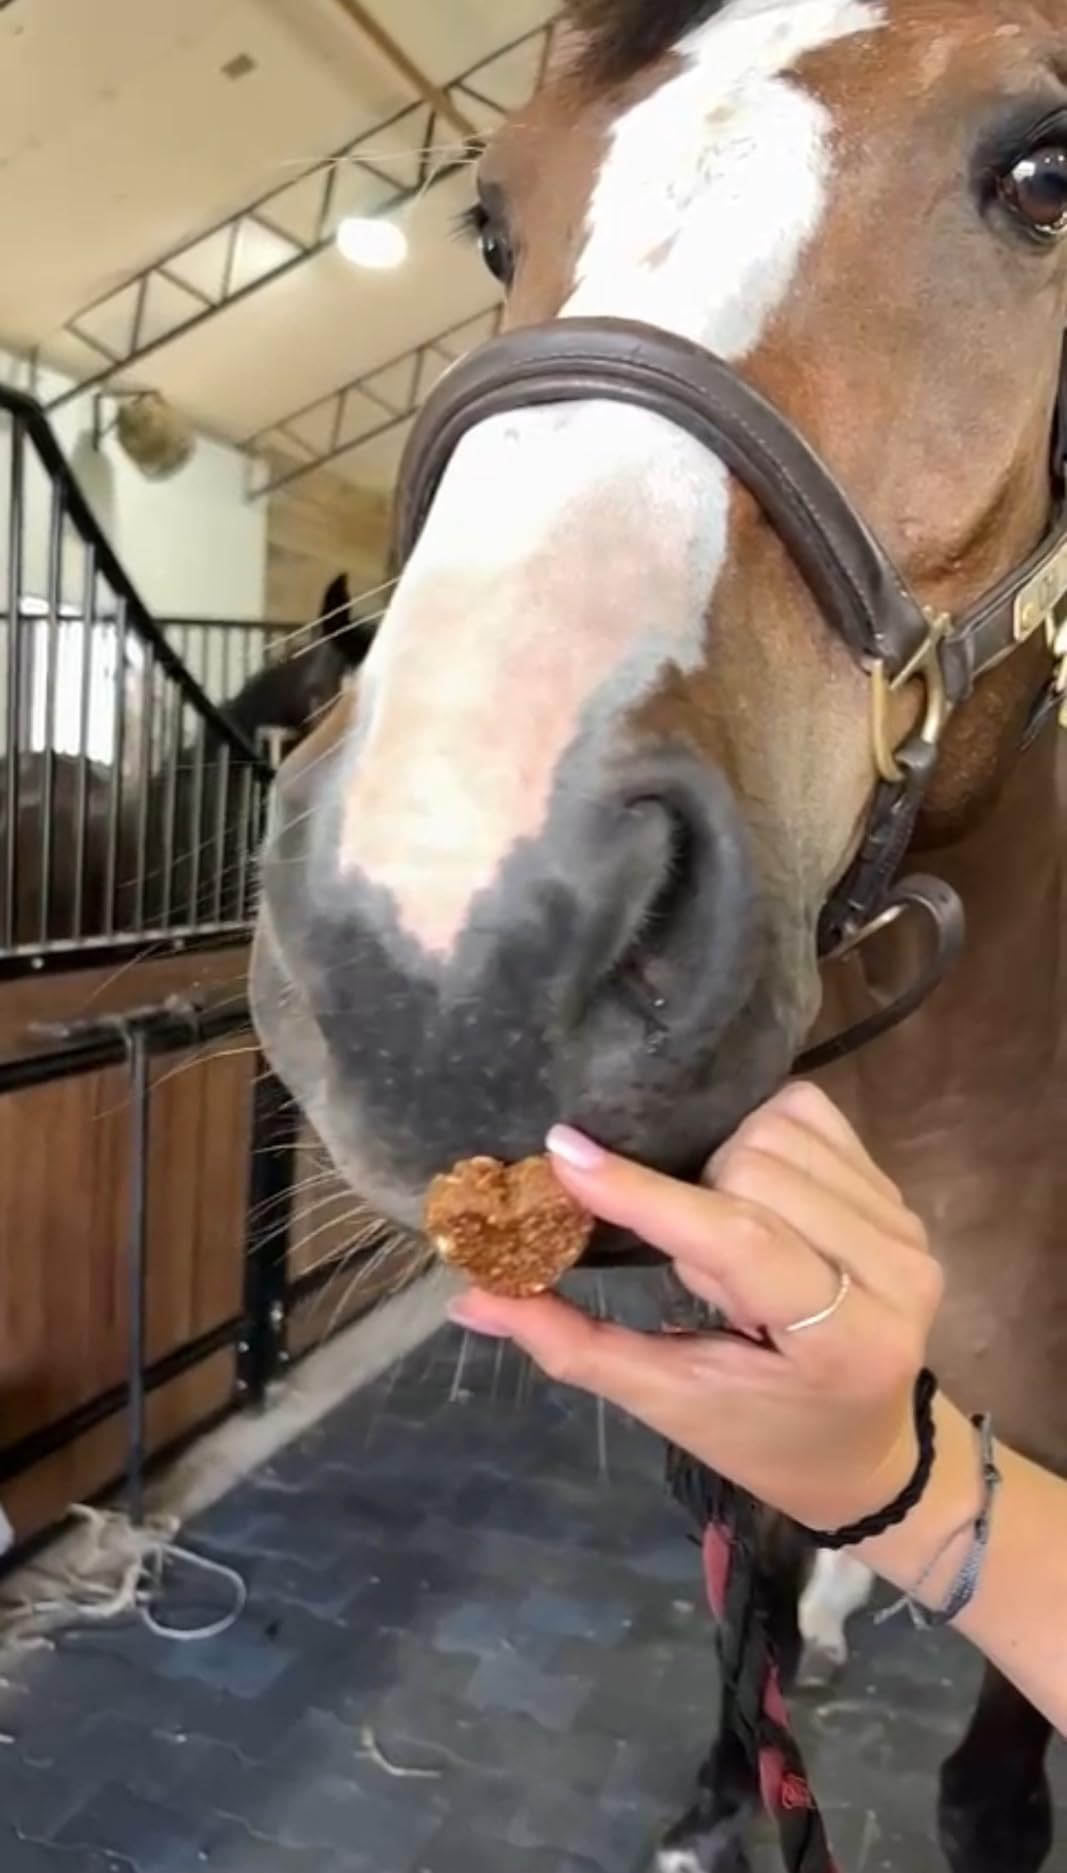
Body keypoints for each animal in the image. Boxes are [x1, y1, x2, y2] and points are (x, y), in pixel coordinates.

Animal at [250, 5, 1067, 1870]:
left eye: (1048, 173)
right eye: (489, 218)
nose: (445, 957)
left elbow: (987, 1779)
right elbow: (745, 1589)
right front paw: (715, 1793)